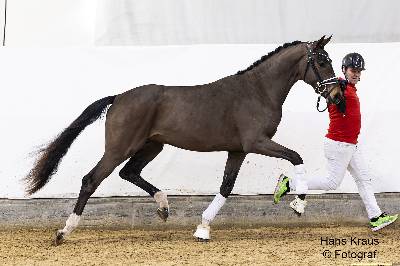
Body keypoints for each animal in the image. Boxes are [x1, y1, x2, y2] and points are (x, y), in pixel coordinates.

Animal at [25, 35, 340, 245]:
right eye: (322, 61)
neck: (258, 91)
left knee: (129, 172)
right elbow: (297, 157)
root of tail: (119, 97)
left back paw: (164, 207)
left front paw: (203, 228)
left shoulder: (237, 150)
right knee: (91, 179)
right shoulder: (256, 143)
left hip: (152, 145)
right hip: (119, 147)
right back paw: (63, 232)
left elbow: (226, 187)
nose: (336, 95)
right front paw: (298, 204)